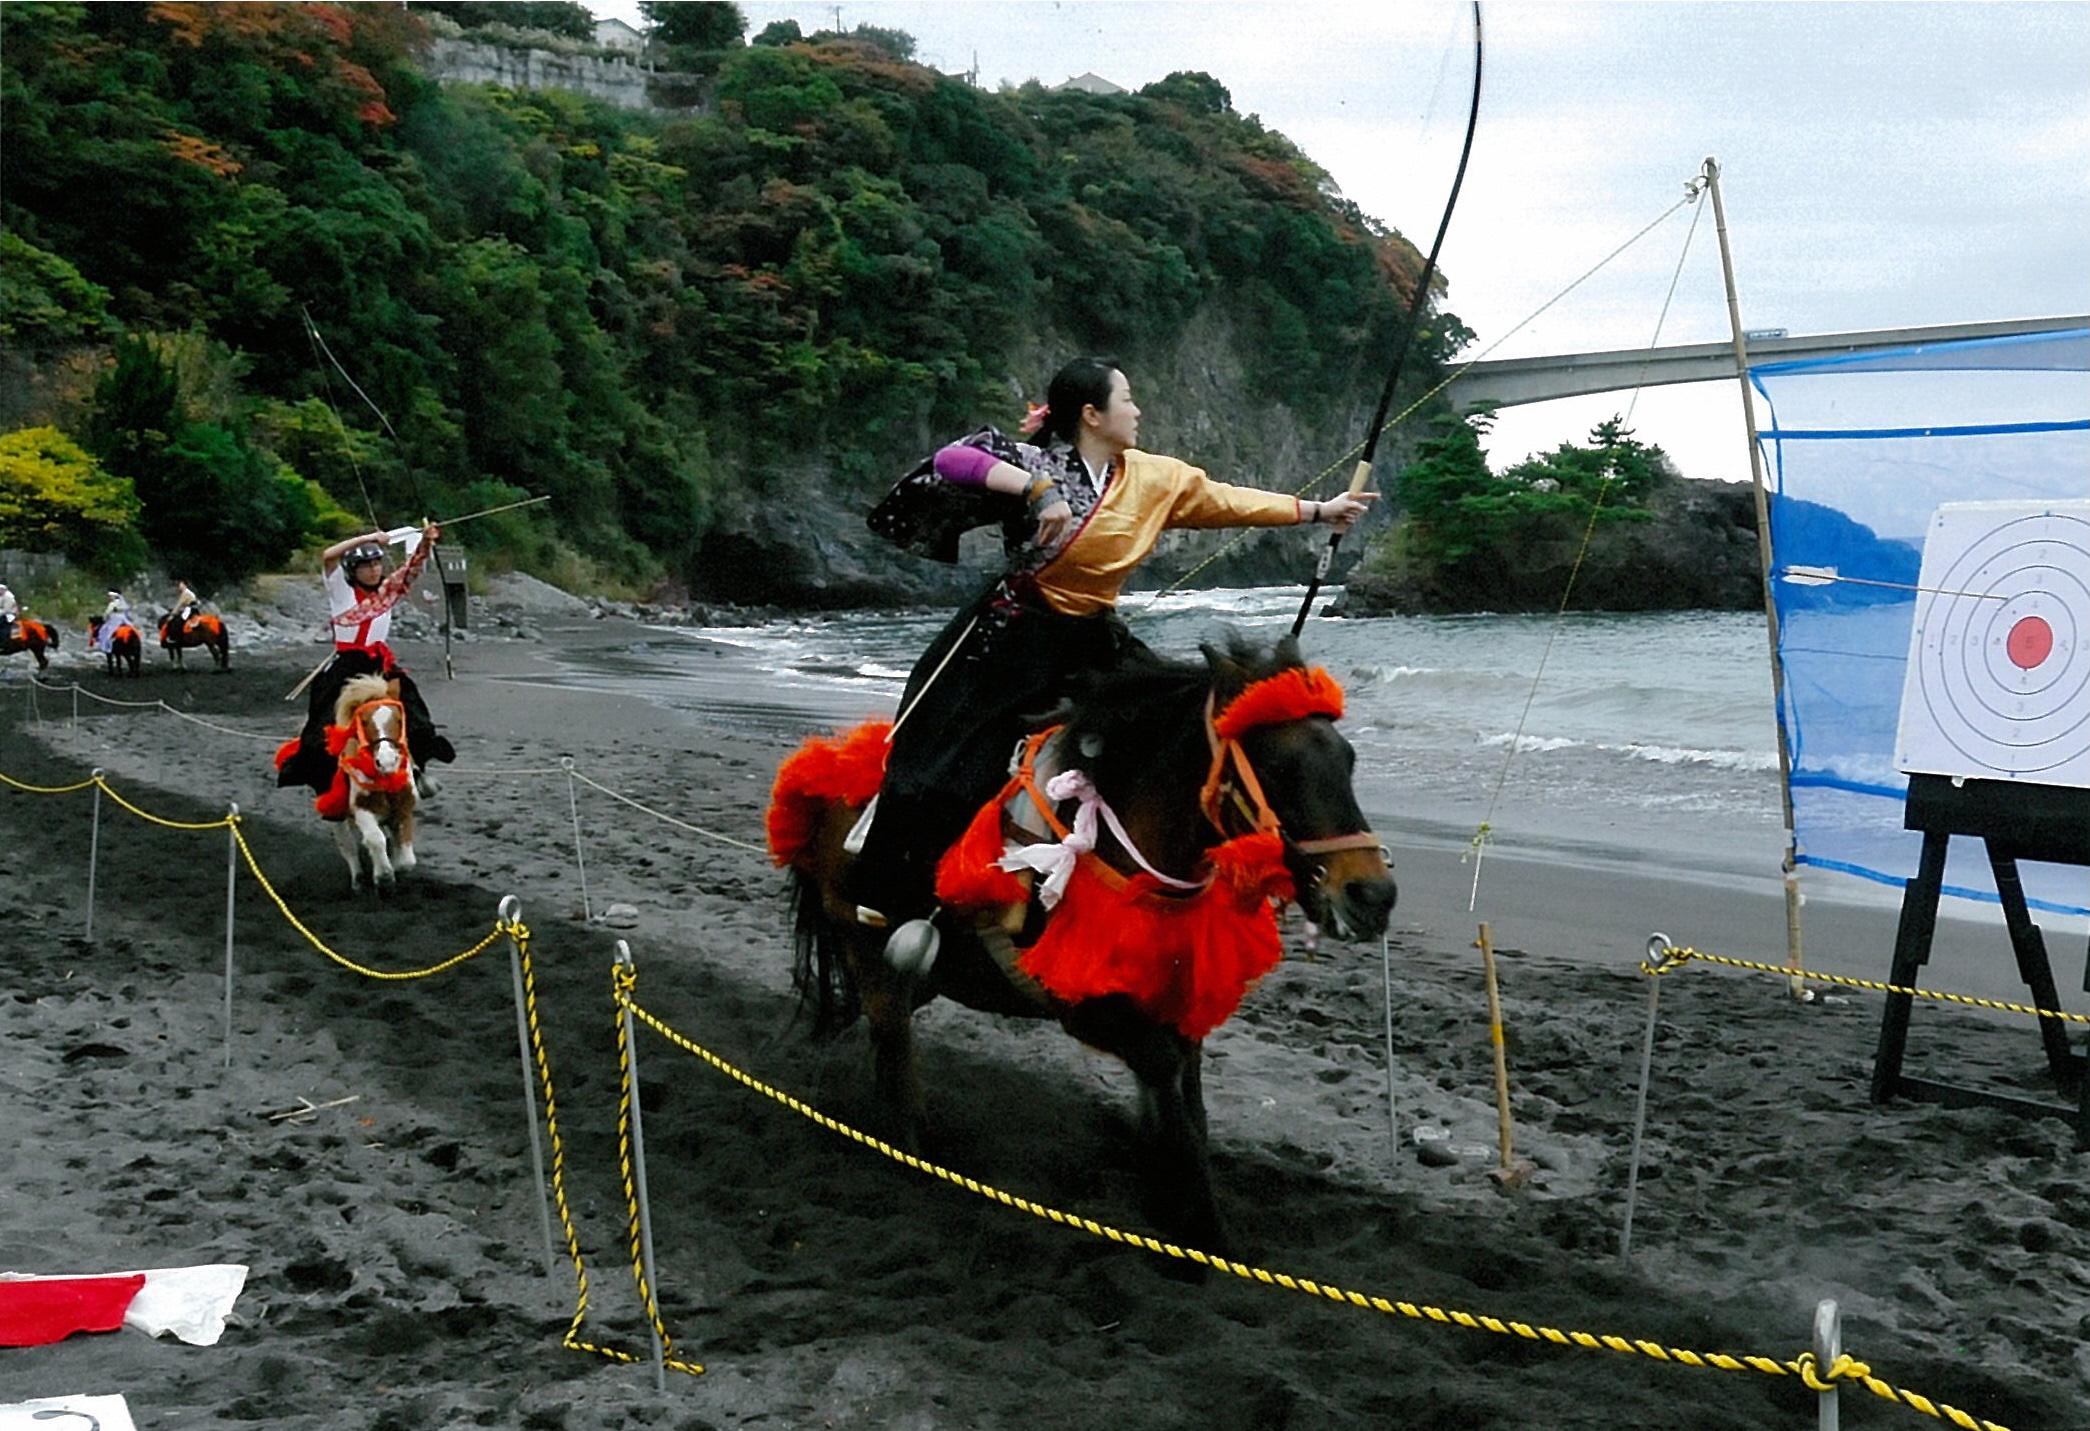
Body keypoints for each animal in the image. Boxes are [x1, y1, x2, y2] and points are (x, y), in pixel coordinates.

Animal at [764, 630, 1387, 1245]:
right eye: (1278, 766)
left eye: (1349, 758)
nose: (1373, 895)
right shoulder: (1093, 1011)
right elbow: (1172, 1102)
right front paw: (1195, 1228)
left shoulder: (1175, 1006)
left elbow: (1187, 1102)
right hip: (869, 952)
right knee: (894, 1052)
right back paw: (913, 1155)